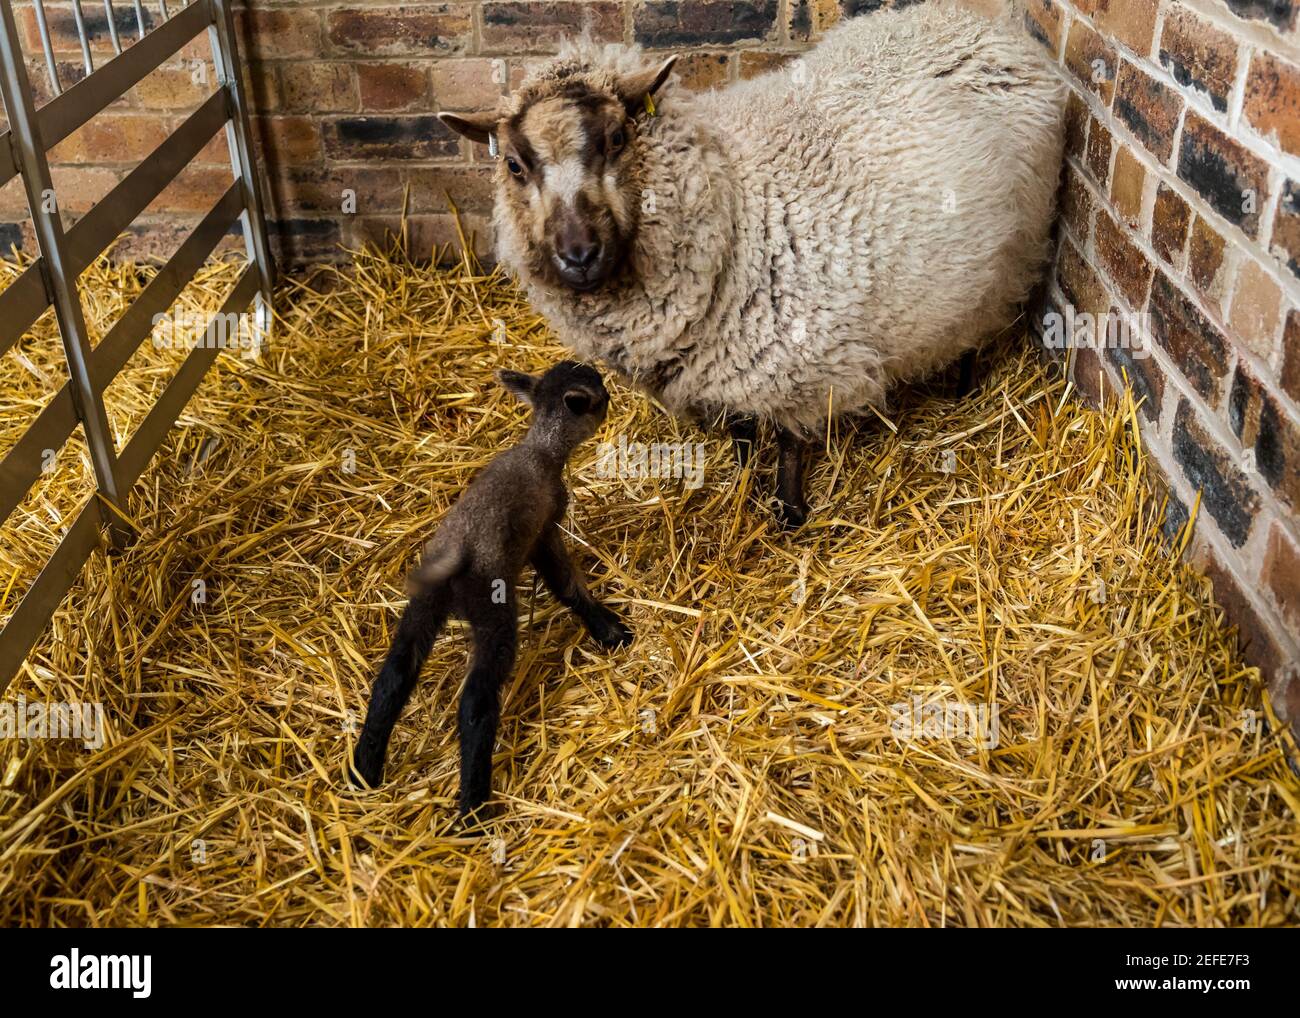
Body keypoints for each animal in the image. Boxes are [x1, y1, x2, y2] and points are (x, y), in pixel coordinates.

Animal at [353, 361, 631, 816]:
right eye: (600, 395)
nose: (612, 397)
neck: (542, 448)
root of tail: (456, 553)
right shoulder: (544, 528)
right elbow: (564, 581)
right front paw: (607, 628)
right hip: (492, 609)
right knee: (476, 701)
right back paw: (473, 805)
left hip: (423, 605)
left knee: (394, 675)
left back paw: (364, 769)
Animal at [441, 1, 1060, 525]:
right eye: (515, 165)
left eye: (616, 138)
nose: (578, 257)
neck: (734, 207)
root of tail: (978, 22)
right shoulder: (724, 363)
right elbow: (741, 430)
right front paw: (741, 479)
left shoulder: (799, 362)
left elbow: (788, 443)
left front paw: (788, 512)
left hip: (1010, 254)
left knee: (977, 326)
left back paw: (961, 387)